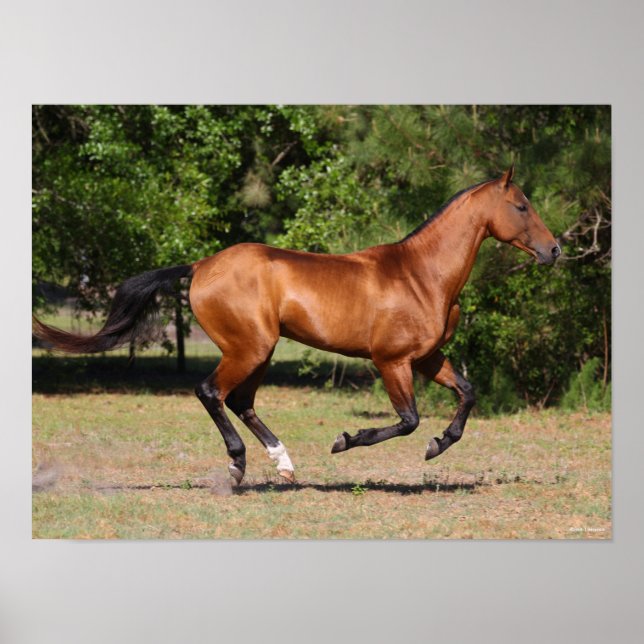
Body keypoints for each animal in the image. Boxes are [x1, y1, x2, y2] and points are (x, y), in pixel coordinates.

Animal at [33, 166, 561, 485]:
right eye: (521, 206)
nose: (554, 250)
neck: (421, 275)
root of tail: (201, 265)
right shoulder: (391, 361)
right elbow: (408, 420)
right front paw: (345, 441)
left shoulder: (428, 358)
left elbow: (468, 393)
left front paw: (438, 446)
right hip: (247, 348)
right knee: (211, 392)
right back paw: (238, 465)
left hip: (260, 352)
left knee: (241, 402)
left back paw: (283, 464)